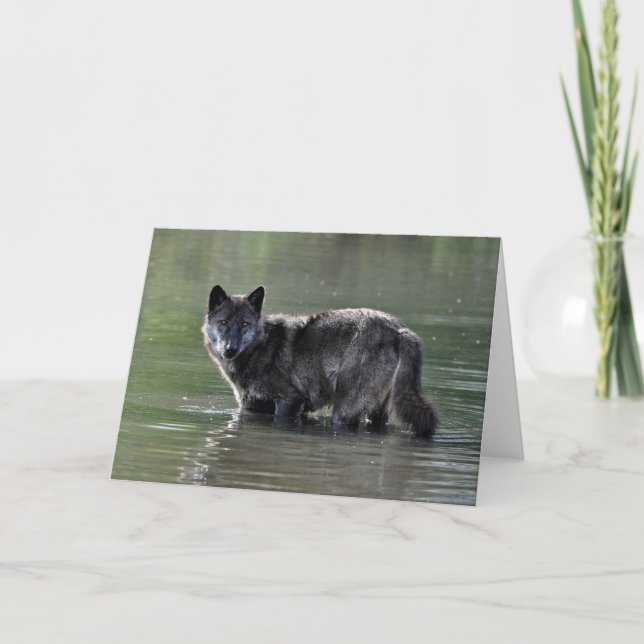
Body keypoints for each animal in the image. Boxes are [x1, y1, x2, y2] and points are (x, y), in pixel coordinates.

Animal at [202, 285, 438, 436]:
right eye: (224, 322)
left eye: (244, 324)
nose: (230, 349)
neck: (259, 348)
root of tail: (399, 329)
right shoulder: (251, 408)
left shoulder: (290, 401)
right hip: (377, 413)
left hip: (343, 411)